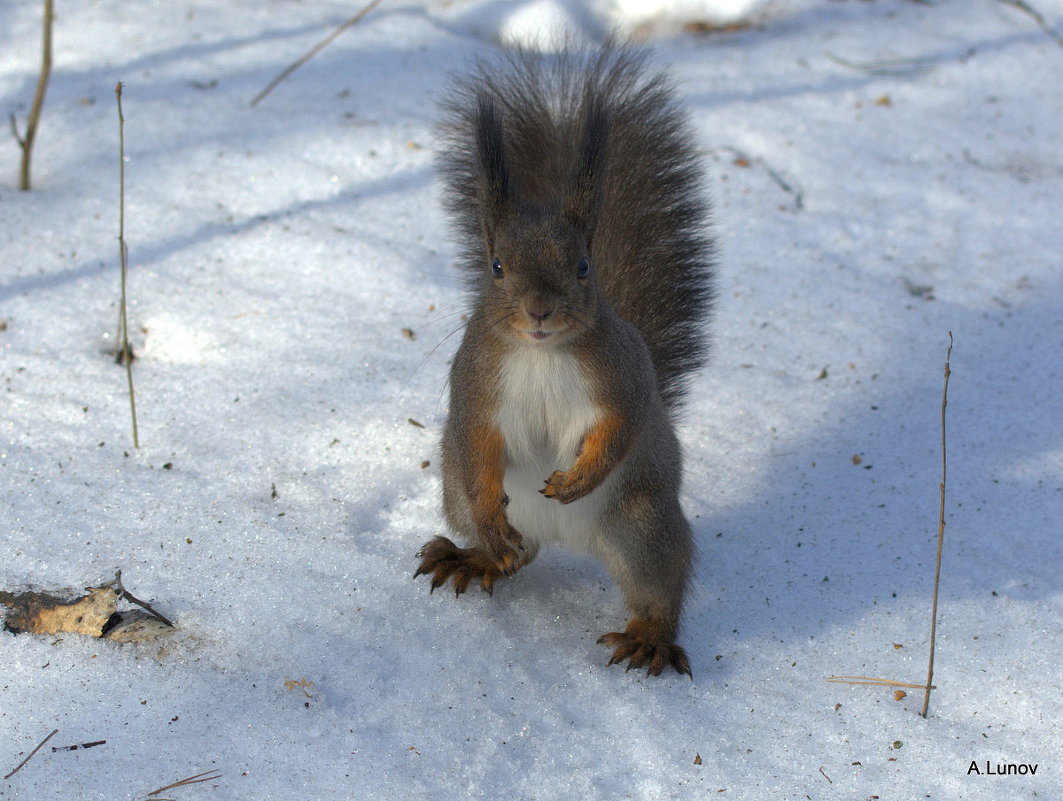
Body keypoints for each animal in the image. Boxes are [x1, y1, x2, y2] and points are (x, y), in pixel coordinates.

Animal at [414, 45, 714, 675]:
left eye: (582, 266)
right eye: (496, 266)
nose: (539, 310)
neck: (541, 353)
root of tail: (565, 537)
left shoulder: (624, 377)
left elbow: (620, 428)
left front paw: (578, 478)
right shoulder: (473, 386)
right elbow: (477, 442)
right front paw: (490, 524)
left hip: (642, 525)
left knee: (659, 585)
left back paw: (650, 636)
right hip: (453, 492)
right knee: (513, 551)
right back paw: (479, 555)